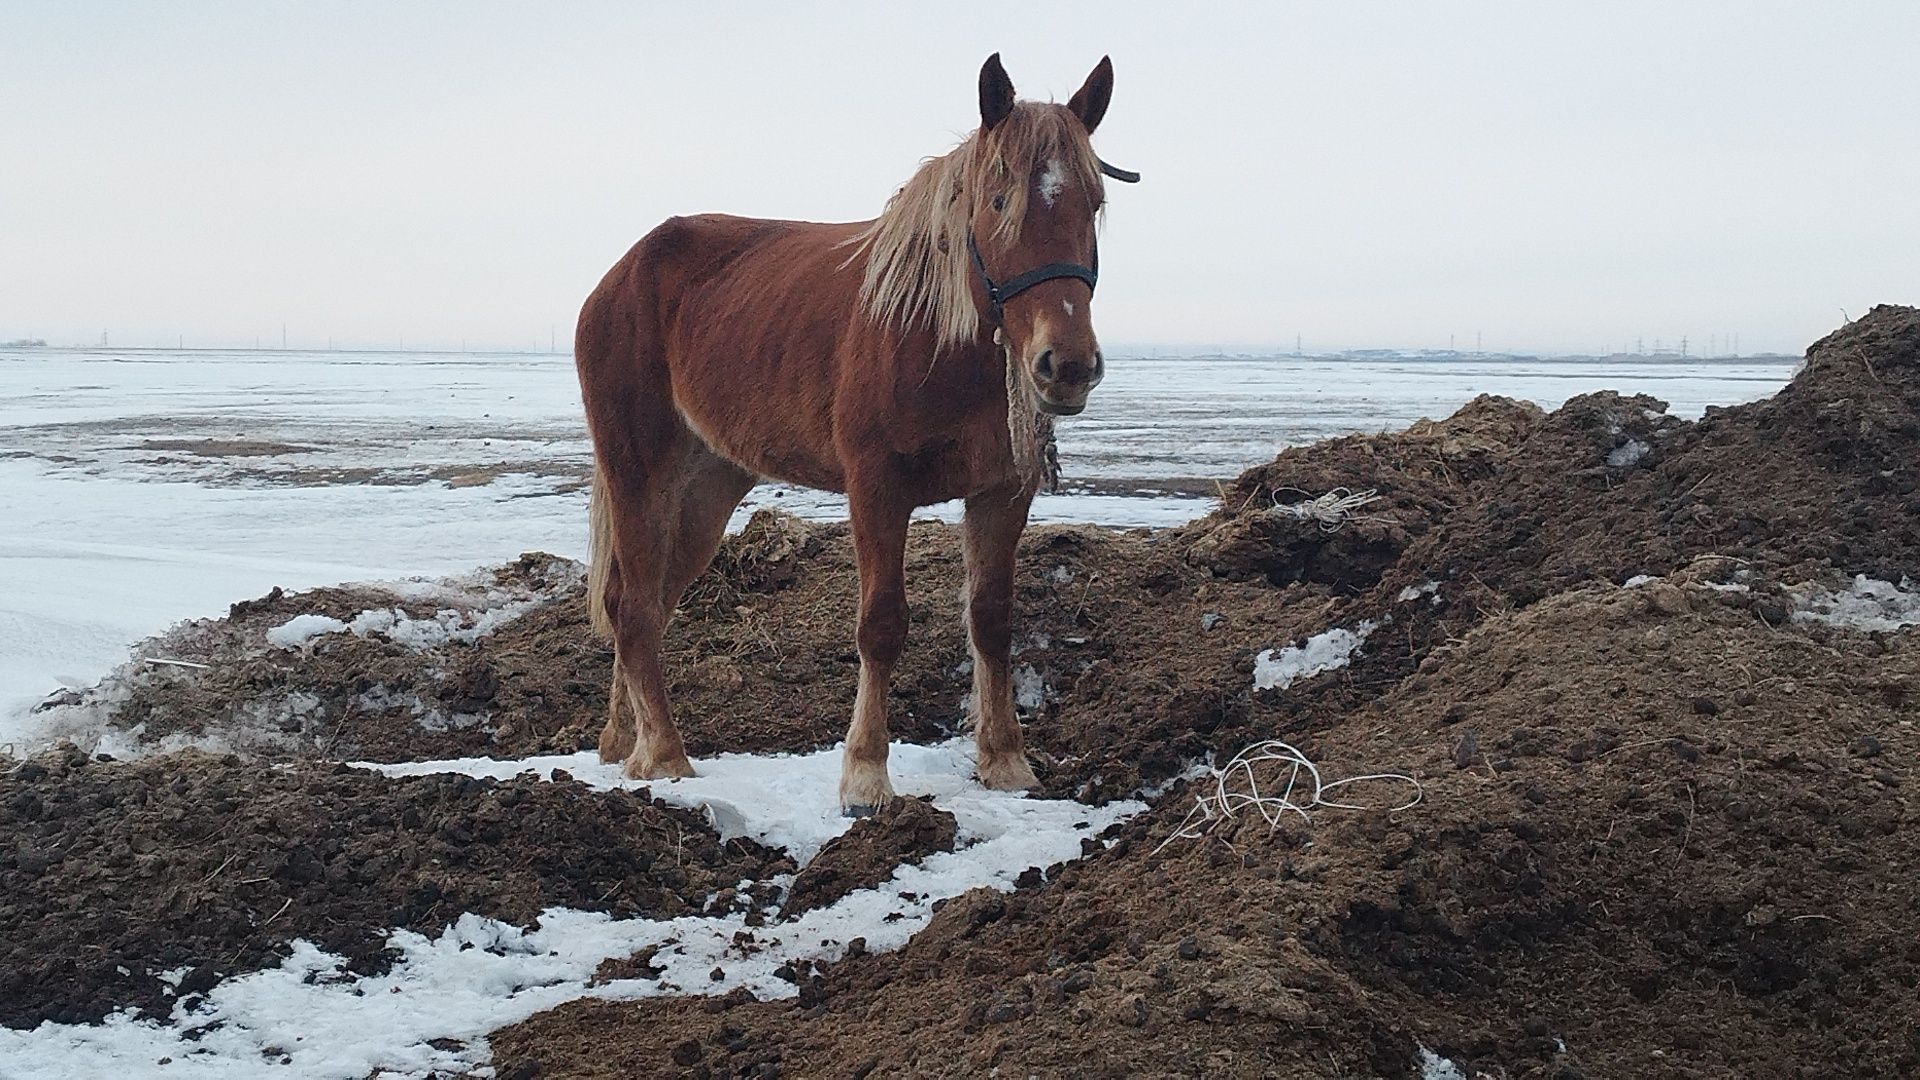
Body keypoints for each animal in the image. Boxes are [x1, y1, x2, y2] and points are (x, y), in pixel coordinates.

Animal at [576, 50, 1128, 807]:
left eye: (1093, 204)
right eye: (998, 201)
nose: (1066, 365)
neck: (937, 336)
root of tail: (617, 277)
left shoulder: (1002, 492)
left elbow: (991, 619)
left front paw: (1004, 759)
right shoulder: (876, 488)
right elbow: (881, 625)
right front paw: (865, 773)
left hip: (706, 488)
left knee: (644, 603)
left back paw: (623, 743)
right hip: (640, 475)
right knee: (633, 610)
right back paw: (663, 754)